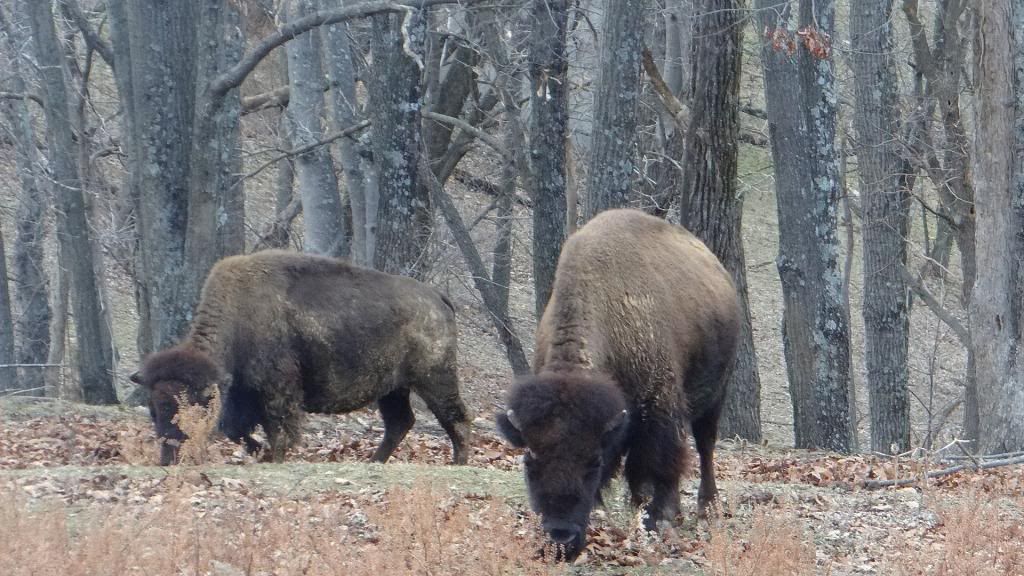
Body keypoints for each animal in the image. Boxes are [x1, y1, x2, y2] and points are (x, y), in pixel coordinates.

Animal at [130, 249, 473, 463]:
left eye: (189, 407)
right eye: (152, 409)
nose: (168, 457)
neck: (240, 316)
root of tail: (436, 297)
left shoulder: (277, 391)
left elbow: (279, 430)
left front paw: (274, 457)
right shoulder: (243, 393)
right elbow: (236, 430)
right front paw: (262, 453)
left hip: (434, 378)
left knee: (456, 417)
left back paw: (457, 463)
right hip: (392, 389)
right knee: (400, 422)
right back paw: (374, 462)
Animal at [493, 207, 737, 557]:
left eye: (593, 461)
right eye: (529, 461)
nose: (560, 539)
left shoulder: (659, 408)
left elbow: (659, 463)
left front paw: (657, 520)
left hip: (716, 394)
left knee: (704, 447)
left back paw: (706, 509)